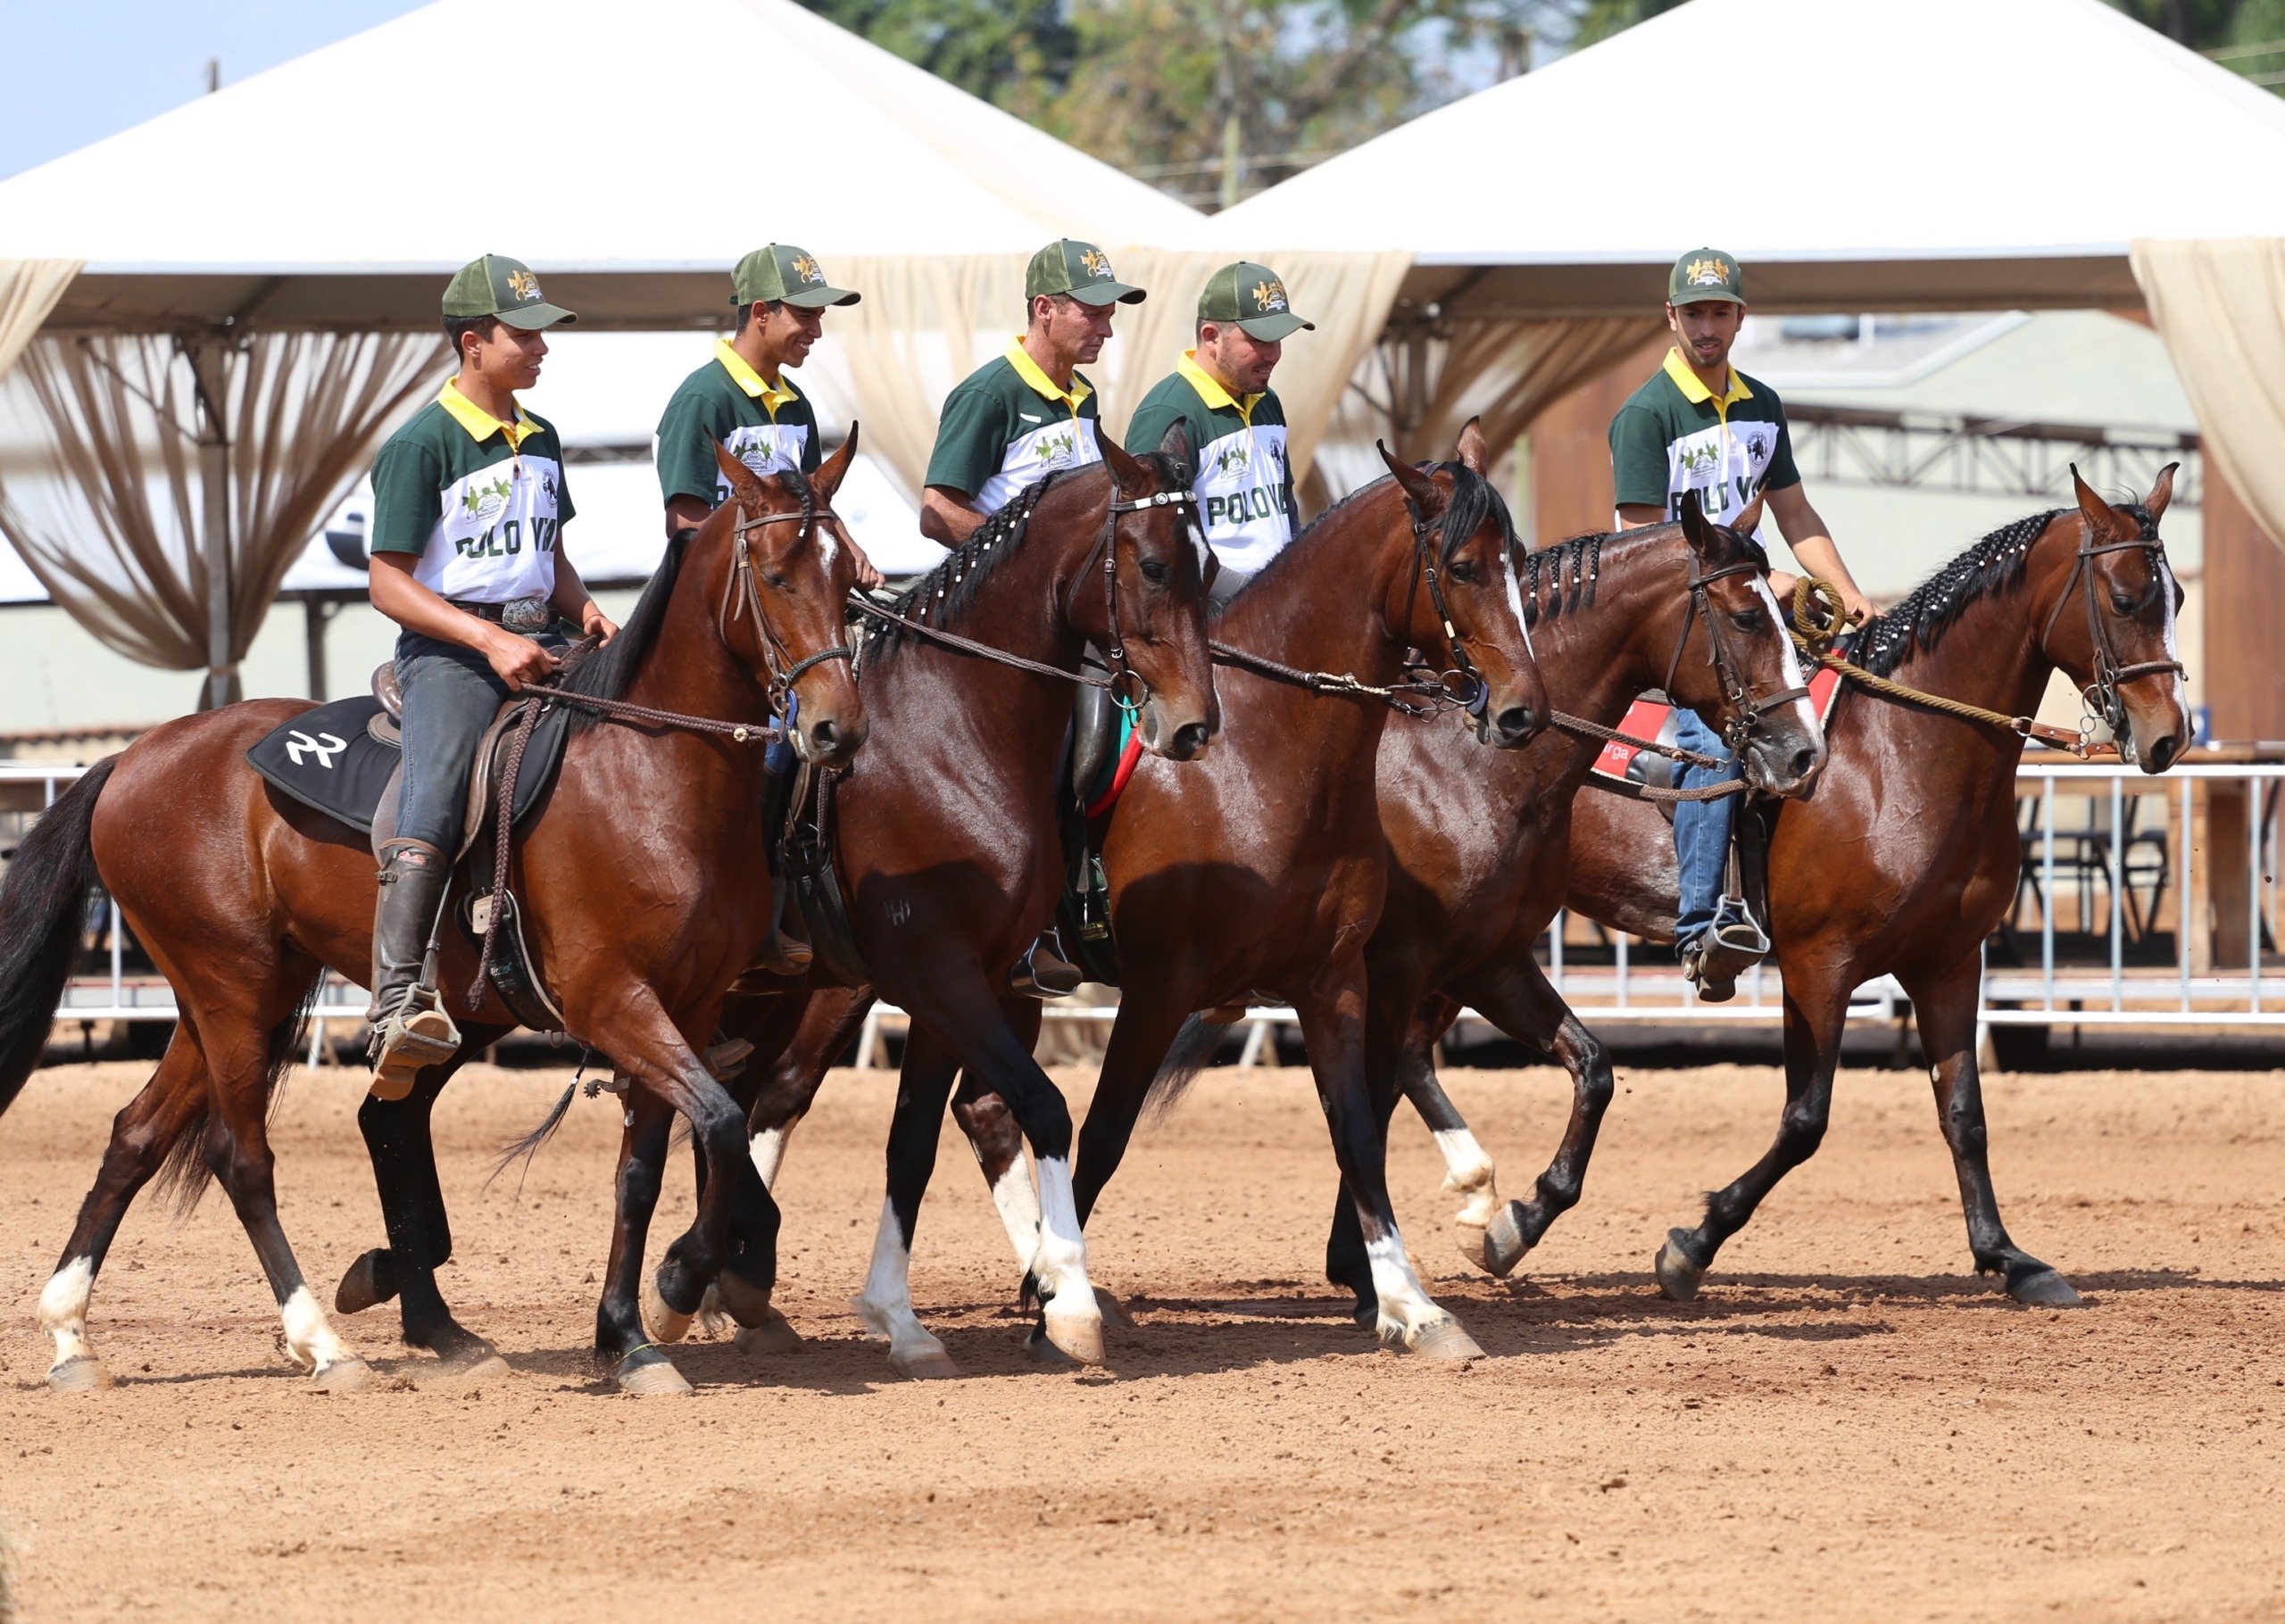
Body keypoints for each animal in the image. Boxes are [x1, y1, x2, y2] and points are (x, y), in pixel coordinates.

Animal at [0, 445, 863, 1397]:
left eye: (853, 577)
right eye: (775, 575)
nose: (839, 728)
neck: (647, 774)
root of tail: (131, 759)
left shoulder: (691, 1004)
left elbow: (646, 1169)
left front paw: (633, 1336)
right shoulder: (612, 1000)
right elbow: (718, 1126)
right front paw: (686, 1286)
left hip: (231, 997)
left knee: (138, 1135)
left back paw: (73, 1336)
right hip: (234, 992)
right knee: (242, 1158)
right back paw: (323, 1344)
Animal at [1462, 466, 2193, 1306]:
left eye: (2180, 598)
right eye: (2126, 599)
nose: (2170, 736)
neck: (1896, 754)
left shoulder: (1949, 962)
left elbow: (1964, 1115)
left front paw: (2008, 1257)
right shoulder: (1820, 966)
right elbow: (1805, 1120)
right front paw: (1692, 1244)